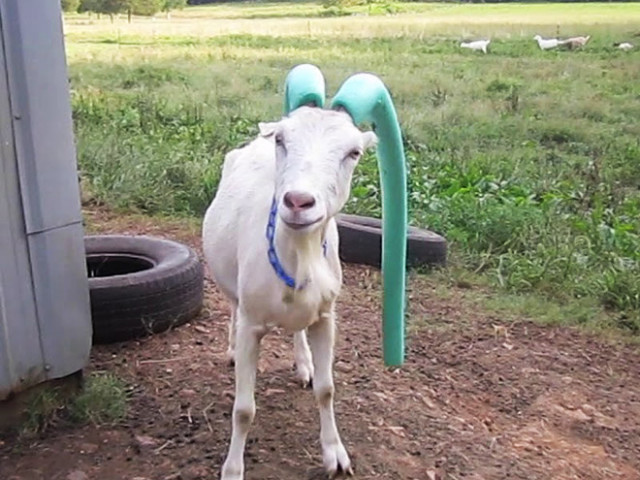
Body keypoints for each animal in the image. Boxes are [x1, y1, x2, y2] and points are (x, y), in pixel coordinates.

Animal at [202, 106, 378, 480]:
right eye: (282, 141)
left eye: (354, 152)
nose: (298, 201)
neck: (298, 253)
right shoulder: (252, 323)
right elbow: (243, 409)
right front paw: (233, 469)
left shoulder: (326, 317)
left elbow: (327, 390)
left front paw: (335, 455)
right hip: (231, 282)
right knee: (232, 305)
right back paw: (232, 350)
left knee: (298, 331)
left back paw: (303, 364)